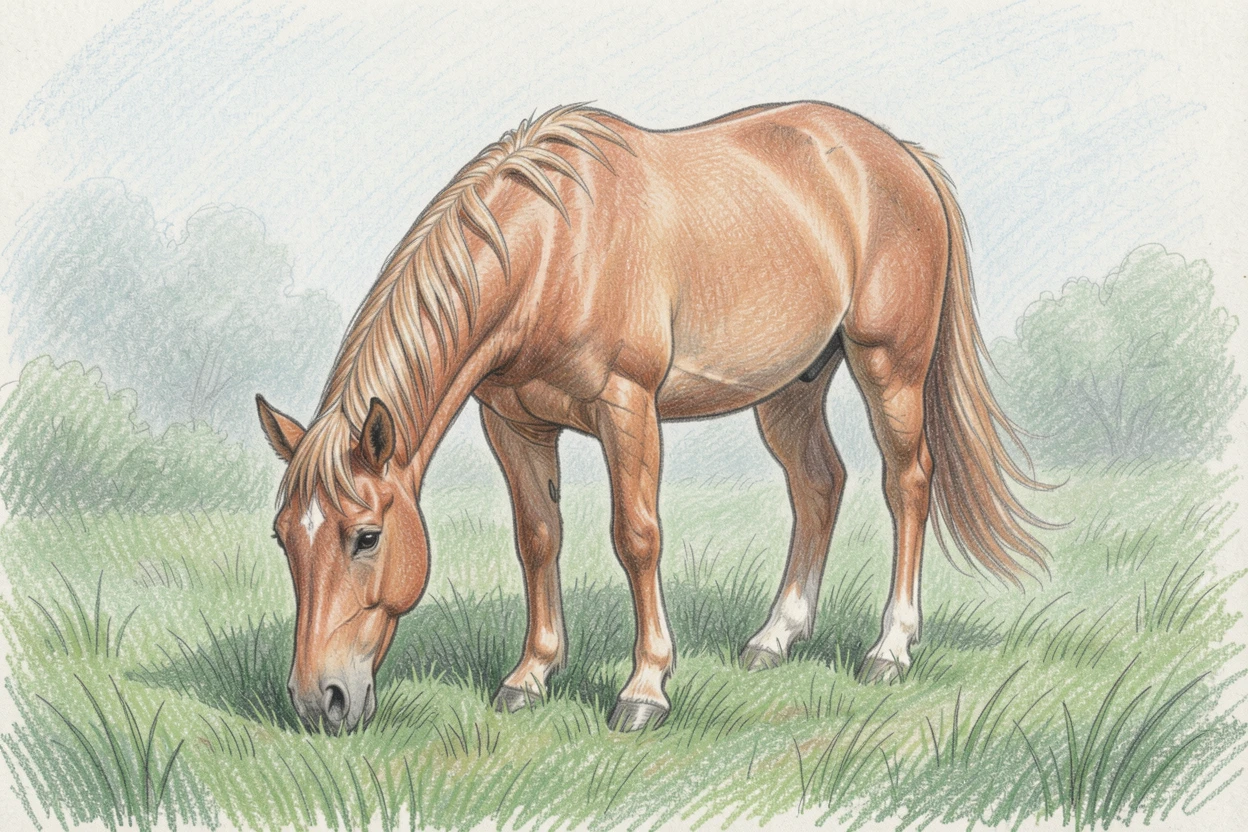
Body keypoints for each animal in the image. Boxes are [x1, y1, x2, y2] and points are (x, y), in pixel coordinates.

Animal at [256, 101, 1049, 734]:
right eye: (283, 538)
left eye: (366, 537)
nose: (318, 701)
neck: (557, 248)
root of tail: (900, 155)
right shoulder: (512, 424)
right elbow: (537, 538)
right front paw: (532, 675)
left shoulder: (626, 407)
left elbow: (636, 538)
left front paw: (645, 688)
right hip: (790, 388)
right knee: (818, 485)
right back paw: (775, 637)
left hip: (890, 368)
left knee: (907, 484)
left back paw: (890, 648)